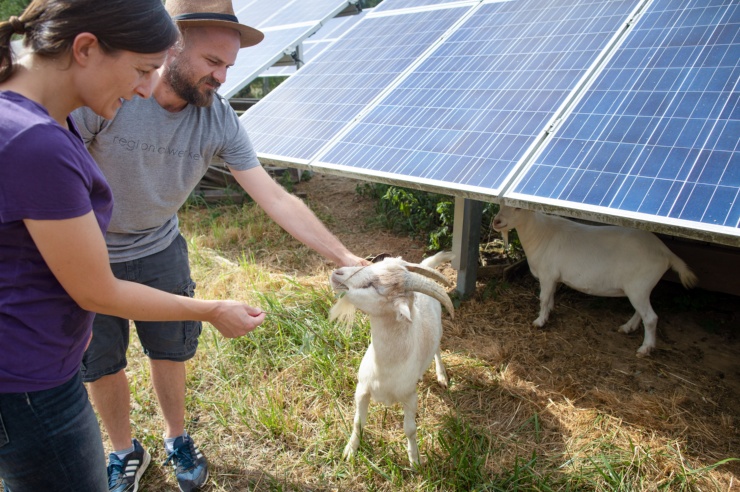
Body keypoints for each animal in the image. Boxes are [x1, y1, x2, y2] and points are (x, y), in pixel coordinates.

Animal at [330, 252, 456, 468]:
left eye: (373, 285)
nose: (337, 273)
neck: (385, 367)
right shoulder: (362, 389)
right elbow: (358, 422)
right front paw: (350, 451)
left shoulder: (410, 398)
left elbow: (410, 430)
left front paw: (415, 460)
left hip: (439, 329)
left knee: (438, 350)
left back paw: (442, 376)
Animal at [494, 205, 696, 358]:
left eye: (518, 207)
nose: (496, 221)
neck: (539, 234)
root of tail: (667, 253)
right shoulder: (553, 278)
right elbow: (550, 297)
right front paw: (549, 312)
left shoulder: (547, 274)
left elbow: (543, 298)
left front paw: (540, 321)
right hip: (640, 288)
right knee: (642, 312)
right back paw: (628, 327)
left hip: (639, 286)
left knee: (651, 318)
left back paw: (645, 348)